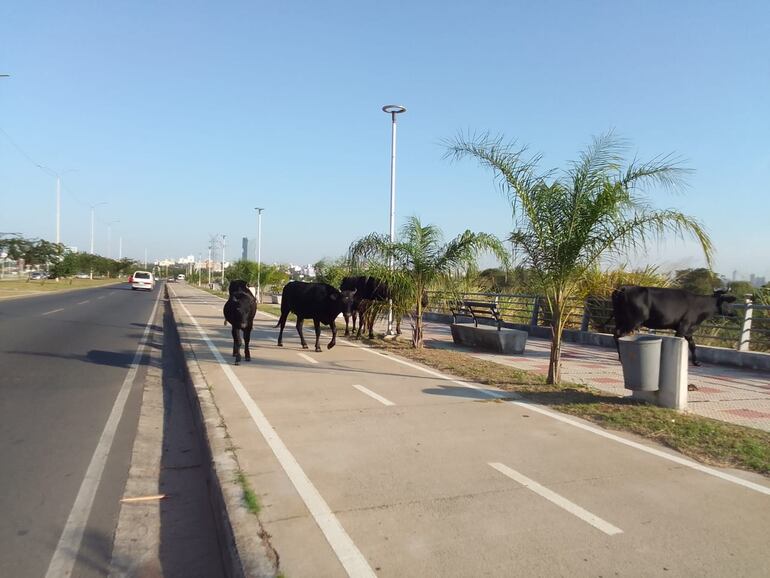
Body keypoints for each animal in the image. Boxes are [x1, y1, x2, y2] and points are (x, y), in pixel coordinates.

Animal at [608, 284, 736, 364]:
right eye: (727, 302)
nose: (733, 313)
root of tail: (624, 288)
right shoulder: (683, 327)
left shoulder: (689, 330)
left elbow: (693, 345)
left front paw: (696, 362)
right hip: (633, 320)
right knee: (620, 335)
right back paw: (621, 358)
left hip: (620, 318)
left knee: (615, 334)